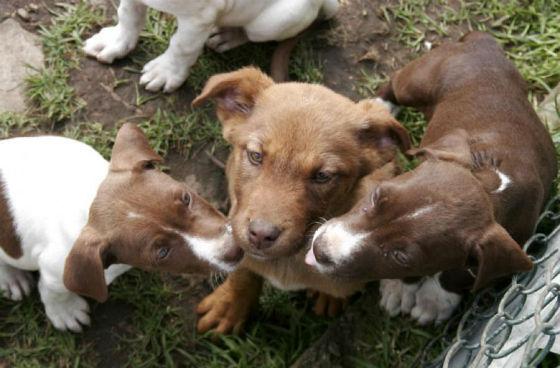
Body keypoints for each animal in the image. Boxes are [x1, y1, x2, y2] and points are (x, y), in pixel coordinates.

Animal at [0, 125, 241, 332]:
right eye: (162, 252)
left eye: (186, 198)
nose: (236, 250)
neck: (86, 196)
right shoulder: (56, 272)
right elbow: (52, 292)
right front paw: (64, 311)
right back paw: (12, 277)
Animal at [82, 0, 336, 92]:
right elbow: (128, 14)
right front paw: (117, 42)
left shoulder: (198, 16)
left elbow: (182, 46)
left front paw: (165, 73)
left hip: (274, 21)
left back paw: (227, 36)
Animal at [190, 67, 410, 334]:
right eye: (255, 156)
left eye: (322, 176)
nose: (261, 235)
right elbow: (243, 272)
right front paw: (231, 304)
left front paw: (330, 295)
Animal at [308, 32, 556, 324]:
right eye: (377, 195)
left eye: (400, 256)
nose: (320, 249)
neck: (494, 187)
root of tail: (482, 41)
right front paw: (402, 290)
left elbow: (460, 273)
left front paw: (434, 299)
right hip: (418, 81)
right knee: (396, 82)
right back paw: (379, 109)